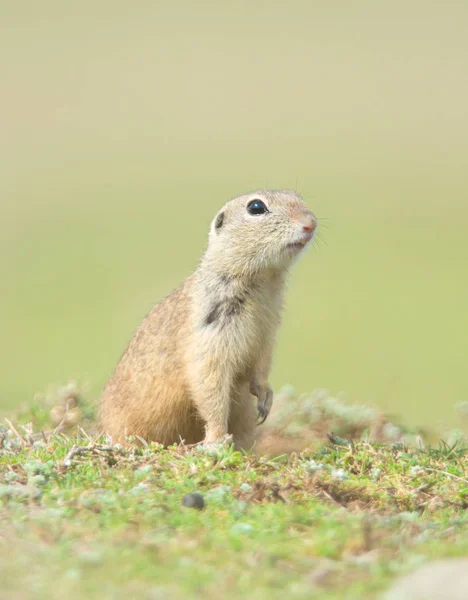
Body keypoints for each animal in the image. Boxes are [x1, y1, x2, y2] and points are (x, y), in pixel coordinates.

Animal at [100, 190, 316, 448]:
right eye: (256, 207)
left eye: (298, 196)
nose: (311, 223)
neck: (263, 282)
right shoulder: (212, 330)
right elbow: (210, 382)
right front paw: (216, 439)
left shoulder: (268, 329)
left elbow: (262, 363)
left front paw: (265, 398)